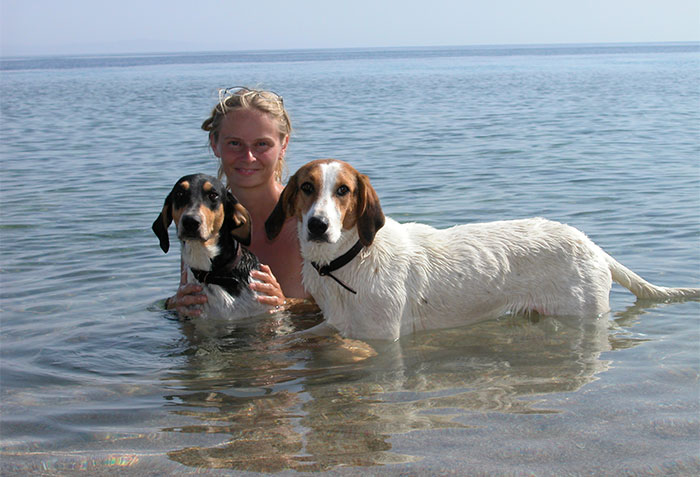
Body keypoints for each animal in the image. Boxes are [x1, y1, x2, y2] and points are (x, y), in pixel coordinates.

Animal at [264, 158, 700, 340]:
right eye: (306, 187)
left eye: (343, 191)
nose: (318, 226)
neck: (349, 261)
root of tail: (591, 245)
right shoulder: (335, 324)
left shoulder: (382, 340)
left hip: (583, 312)